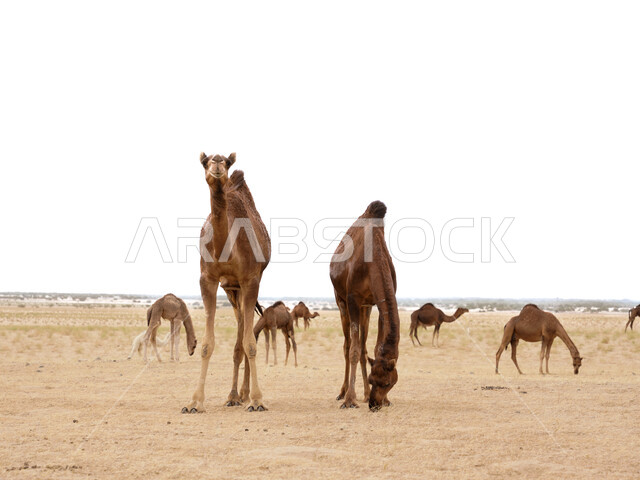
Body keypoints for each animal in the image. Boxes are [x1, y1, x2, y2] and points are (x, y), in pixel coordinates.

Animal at [183, 152, 271, 414]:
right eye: (205, 161)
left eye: (227, 161)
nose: (217, 165)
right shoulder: (208, 280)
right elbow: (206, 344)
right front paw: (194, 402)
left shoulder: (251, 279)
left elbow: (250, 343)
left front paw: (257, 400)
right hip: (231, 290)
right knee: (240, 330)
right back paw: (233, 395)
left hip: (244, 286)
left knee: (246, 333)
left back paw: (244, 395)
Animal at [330, 201, 400, 411]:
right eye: (371, 379)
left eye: (389, 383)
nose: (374, 404)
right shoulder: (352, 299)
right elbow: (352, 350)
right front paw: (349, 400)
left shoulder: (377, 303)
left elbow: (374, 347)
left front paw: (386, 400)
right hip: (341, 301)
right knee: (347, 346)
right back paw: (343, 392)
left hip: (365, 309)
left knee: (363, 347)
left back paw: (364, 394)